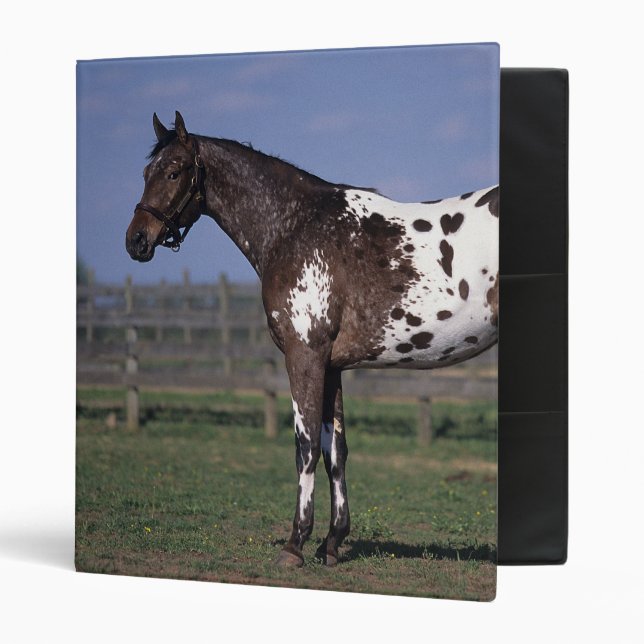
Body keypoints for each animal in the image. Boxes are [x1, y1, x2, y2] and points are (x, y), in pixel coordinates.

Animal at [126, 111, 499, 568]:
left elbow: (304, 447)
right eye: (146, 173)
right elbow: (335, 450)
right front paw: (332, 543)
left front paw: (295, 544)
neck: (295, 226)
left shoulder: (303, 355)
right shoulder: (331, 365)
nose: (136, 240)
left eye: (174, 171)